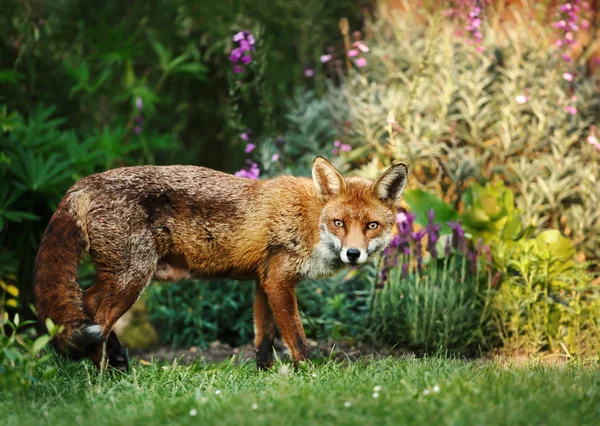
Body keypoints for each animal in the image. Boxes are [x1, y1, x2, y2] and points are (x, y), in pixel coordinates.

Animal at [32, 156, 408, 370]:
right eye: (339, 223)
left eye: (372, 226)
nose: (353, 254)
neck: (310, 220)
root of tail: (82, 184)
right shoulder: (279, 281)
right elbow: (297, 339)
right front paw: (312, 374)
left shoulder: (263, 281)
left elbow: (263, 339)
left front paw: (267, 377)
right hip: (133, 276)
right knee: (97, 313)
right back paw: (101, 378)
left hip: (126, 276)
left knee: (89, 303)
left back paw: (117, 365)